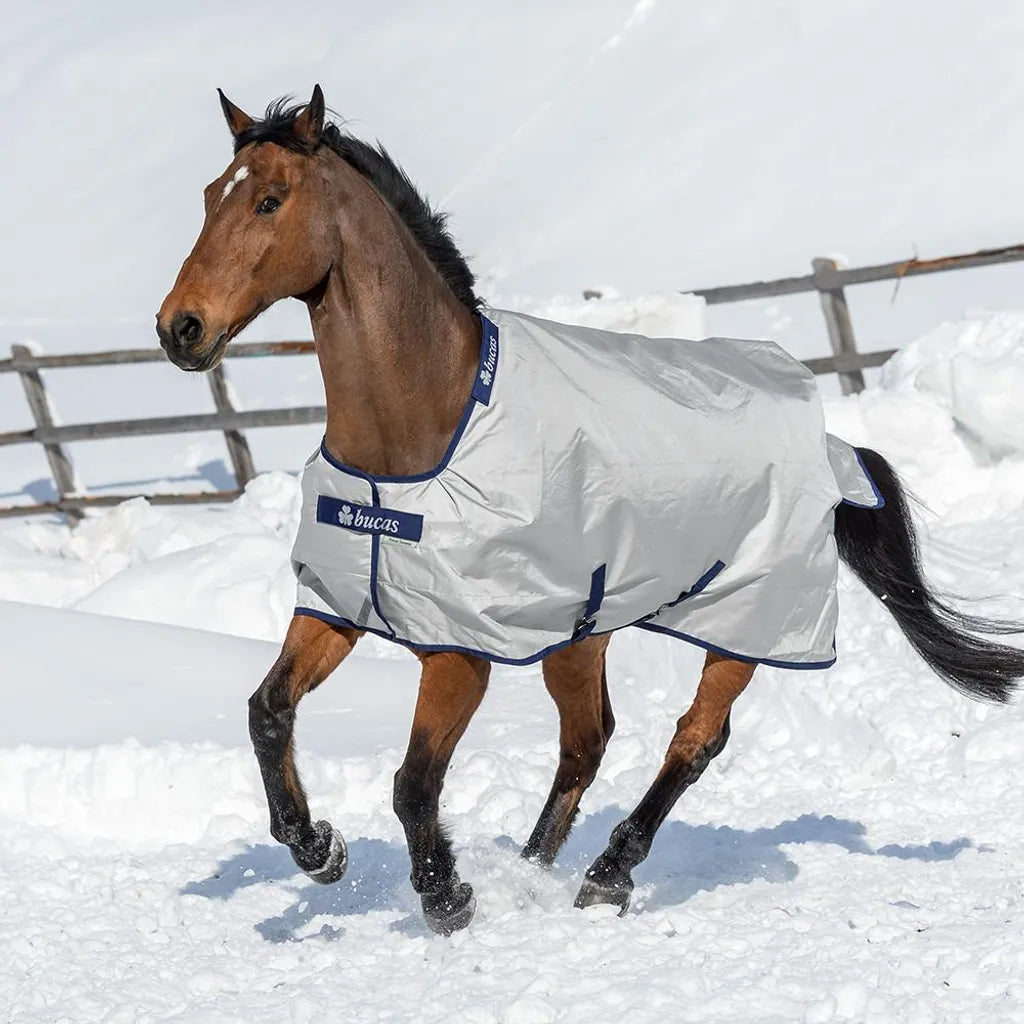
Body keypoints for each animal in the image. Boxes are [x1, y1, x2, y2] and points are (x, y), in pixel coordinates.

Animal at [157, 85, 1024, 936]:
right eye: (207, 197)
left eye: (270, 200)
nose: (180, 328)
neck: (423, 431)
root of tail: (829, 439)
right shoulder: (340, 605)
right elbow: (267, 713)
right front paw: (319, 849)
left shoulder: (461, 652)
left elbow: (413, 780)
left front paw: (446, 897)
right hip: (582, 631)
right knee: (588, 741)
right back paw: (533, 874)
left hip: (745, 624)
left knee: (695, 737)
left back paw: (606, 876)